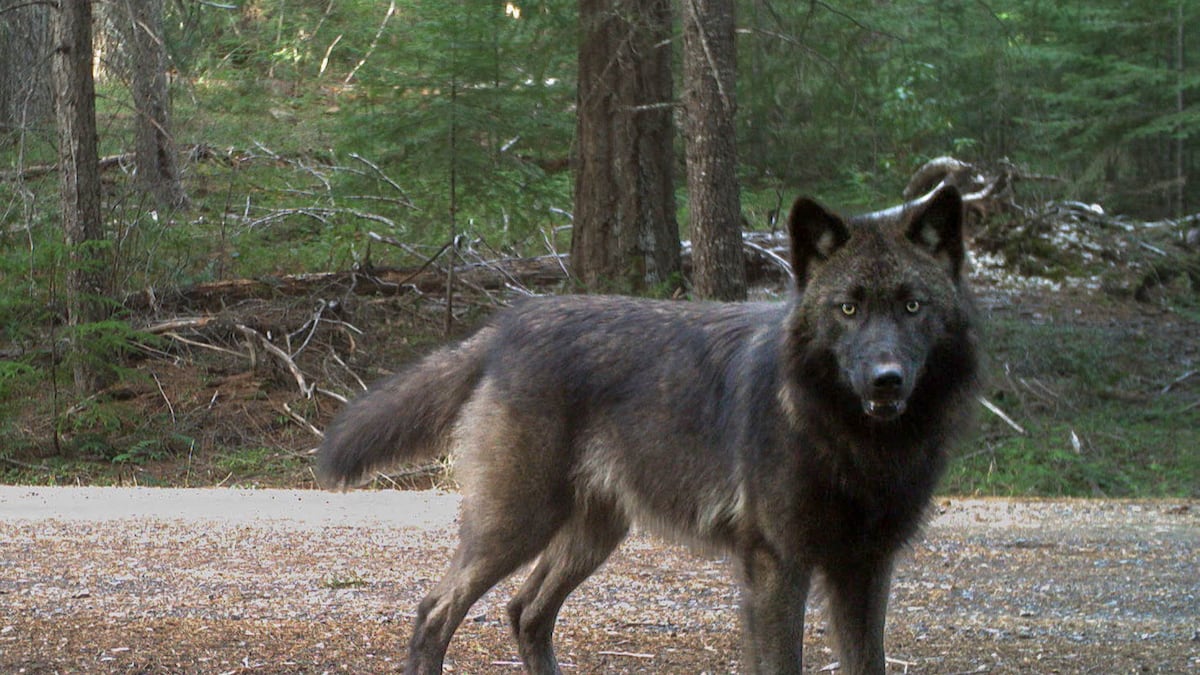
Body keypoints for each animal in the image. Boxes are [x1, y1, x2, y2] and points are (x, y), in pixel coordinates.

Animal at [317, 186, 979, 675]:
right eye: (848, 308)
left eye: (912, 306)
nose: (885, 381)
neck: (849, 440)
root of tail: (507, 326)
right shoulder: (776, 568)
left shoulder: (865, 571)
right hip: (516, 525)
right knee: (435, 612)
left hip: (593, 534)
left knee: (525, 612)